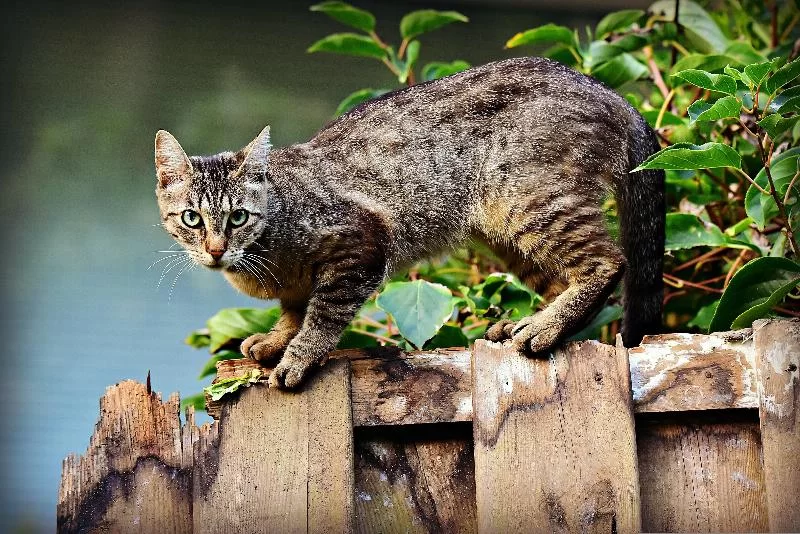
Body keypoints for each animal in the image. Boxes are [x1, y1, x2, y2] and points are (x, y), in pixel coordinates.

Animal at [155, 56, 664, 390]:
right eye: (191, 219)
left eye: (238, 216)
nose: (216, 249)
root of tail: (612, 94)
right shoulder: (298, 285)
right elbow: (294, 310)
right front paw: (277, 339)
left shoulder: (360, 247)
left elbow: (322, 315)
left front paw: (298, 356)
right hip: (503, 233)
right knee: (562, 280)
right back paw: (529, 323)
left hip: (529, 202)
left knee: (608, 263)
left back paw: (544, 327)